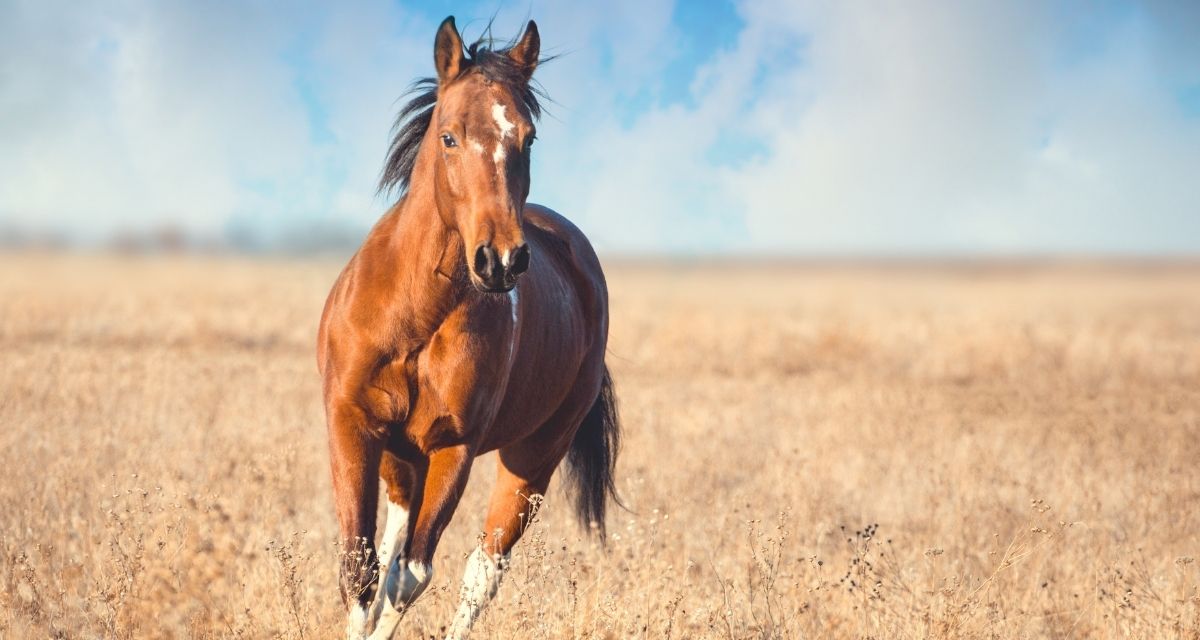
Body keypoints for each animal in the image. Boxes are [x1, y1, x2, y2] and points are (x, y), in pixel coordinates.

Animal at [316, 16, 621, 640]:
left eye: (529, 138)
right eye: (449, 137)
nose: (500, 260)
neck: (414, 316)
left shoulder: (452, 449)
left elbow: (411, 576)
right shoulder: (351, 423)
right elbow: (361, 572)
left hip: (531, 461)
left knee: (482, 570)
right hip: (401, 457)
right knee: (392, 546)